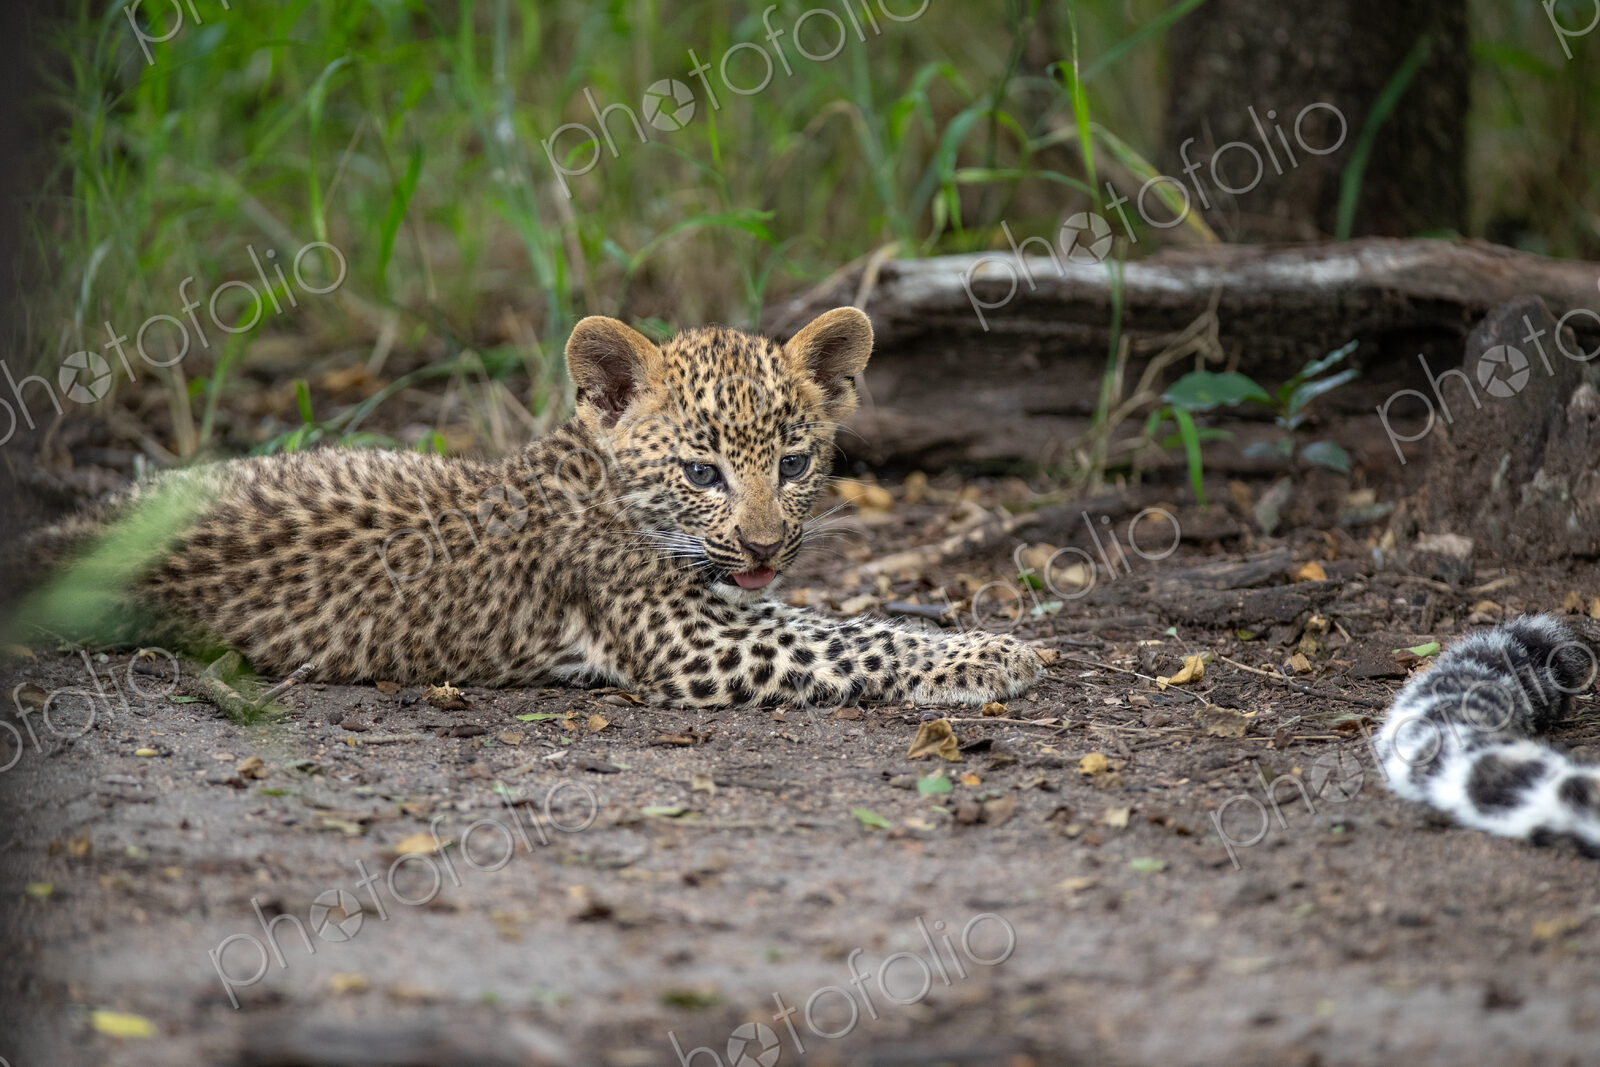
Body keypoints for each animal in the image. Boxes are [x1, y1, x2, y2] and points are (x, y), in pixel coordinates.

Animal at [24, 307, 1043, 708]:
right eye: (702, 472)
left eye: (793, 463)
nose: (761, 545)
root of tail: (63, 540)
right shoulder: (693, 642)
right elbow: (849, 639)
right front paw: (993, 653)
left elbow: (843, 617)